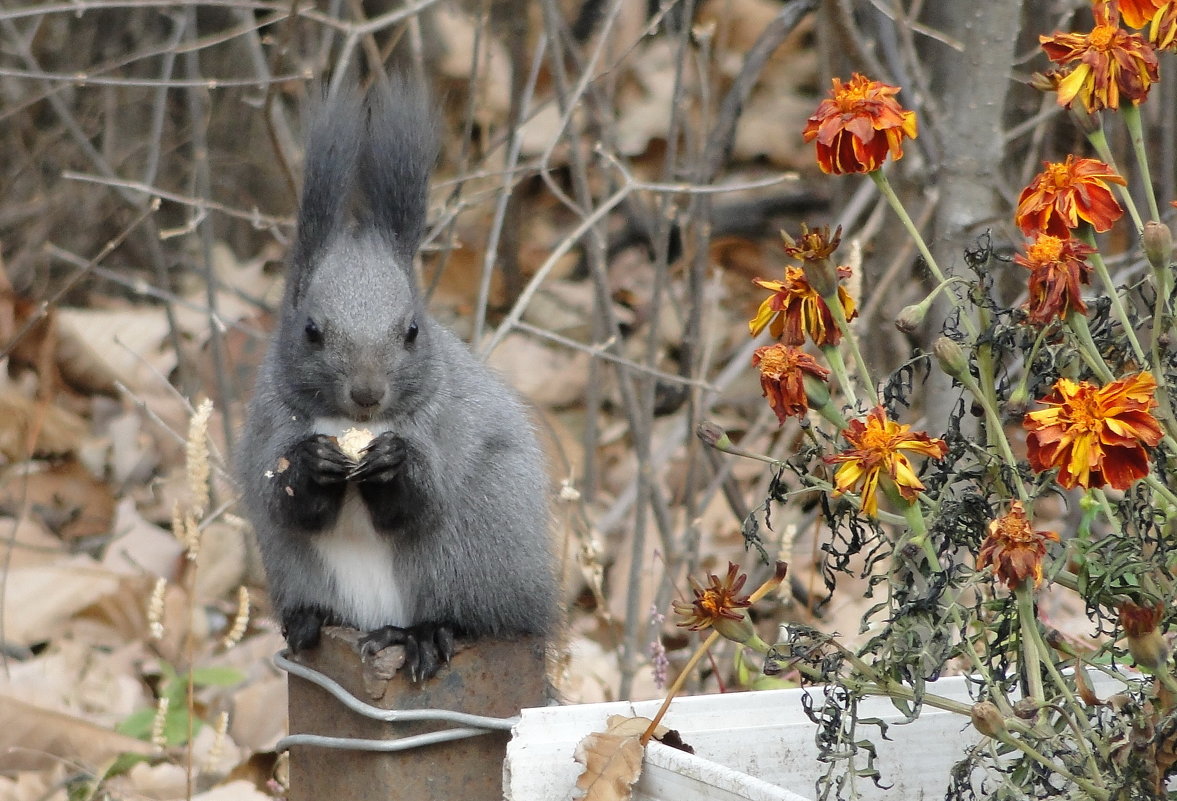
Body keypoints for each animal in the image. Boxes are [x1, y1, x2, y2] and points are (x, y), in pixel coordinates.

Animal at [236, 81, 557, 677]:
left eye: (412, 330)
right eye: (310, 330)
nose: (367, 394)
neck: (345, 423)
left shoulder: (444, 423)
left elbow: (420, 501)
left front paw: (395, 463)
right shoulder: (269, 424)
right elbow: (285, 499)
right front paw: (311, 465)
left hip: (471, 552)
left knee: (471, 617)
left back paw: (424, 635)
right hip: (298, 568)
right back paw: (310, 620)